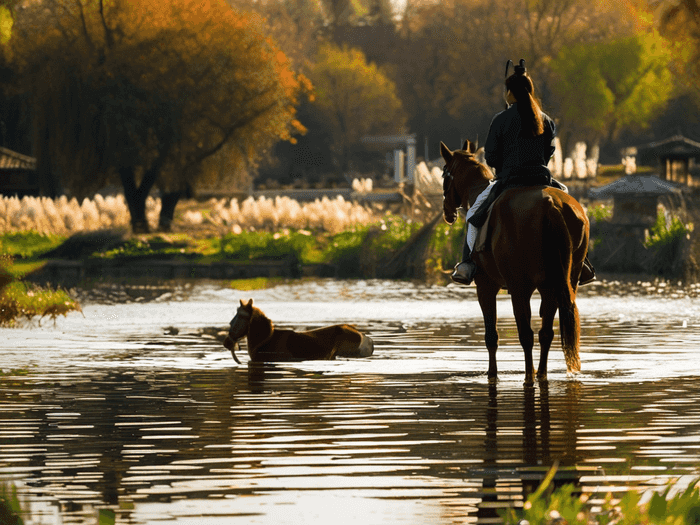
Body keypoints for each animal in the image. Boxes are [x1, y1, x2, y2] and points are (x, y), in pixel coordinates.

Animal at [442, 139, 592, 380]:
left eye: (444, 174)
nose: (447, 212)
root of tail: (550, 204)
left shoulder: (485, 286)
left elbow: (491, 336)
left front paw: (492, 373)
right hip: (560, 283)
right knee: (545, 333)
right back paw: (540, 373)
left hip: (519, 286)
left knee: (526, 334)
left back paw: (529, 375)